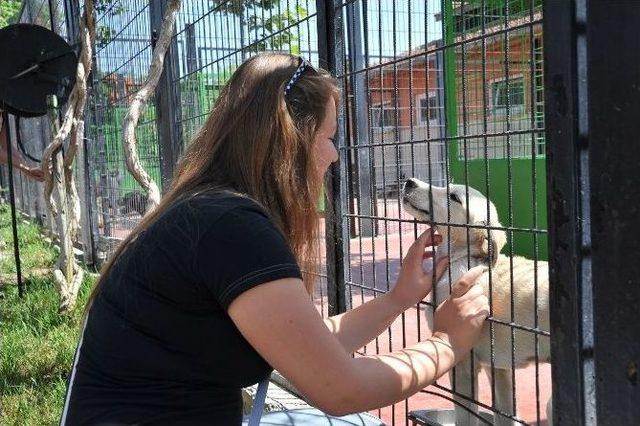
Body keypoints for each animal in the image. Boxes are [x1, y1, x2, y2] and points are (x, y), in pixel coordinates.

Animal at [404, 178, 552, 426]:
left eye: (453, 197)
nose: (409, 182)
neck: (464, 259)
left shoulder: (462, 362)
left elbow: (465, 416)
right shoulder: (499, 368)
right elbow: (505, 415)